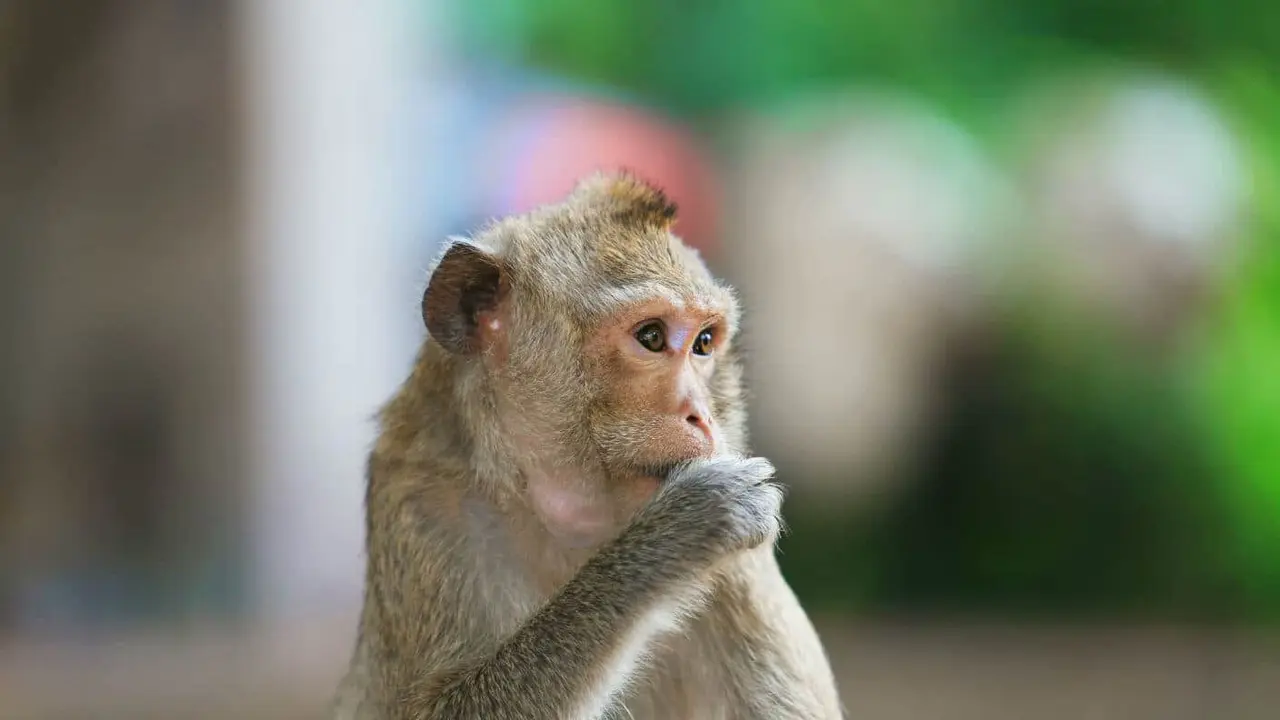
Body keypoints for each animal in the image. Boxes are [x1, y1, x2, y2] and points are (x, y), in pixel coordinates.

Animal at [331, 171, 845, 720]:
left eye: (704, 343)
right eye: (651, 336)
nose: (702, 416)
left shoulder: (745, 568)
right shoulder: (421, 504)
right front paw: (672, 539)